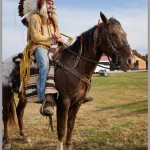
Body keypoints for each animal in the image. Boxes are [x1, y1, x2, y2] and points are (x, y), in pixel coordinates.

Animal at [2, 12, 136, 150]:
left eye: (125, 34)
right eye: (114, 34)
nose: (130, 61)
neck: (75, 66)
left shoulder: (77, 103)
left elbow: (70, 126)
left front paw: (69, 145)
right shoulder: (64, 102)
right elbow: (61, 129)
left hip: (24, 96)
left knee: (19, 111)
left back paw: (24, 136)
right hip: (6, 92)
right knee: (5, 115)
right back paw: (6, 141)